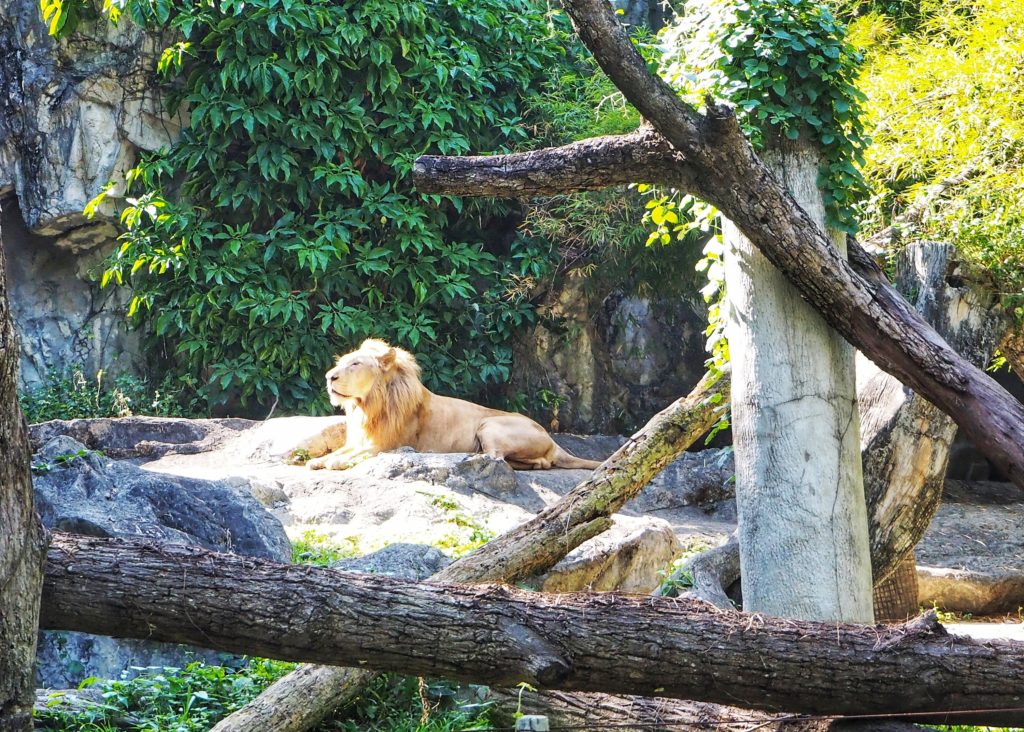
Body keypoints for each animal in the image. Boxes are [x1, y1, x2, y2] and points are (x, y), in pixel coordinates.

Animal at [307, 339, 602, 472]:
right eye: (343, 362)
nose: (329, 376)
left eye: (355, 364)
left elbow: (356, 455)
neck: (366, 405)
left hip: (490, 424)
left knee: (496, 458)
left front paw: (334, 462)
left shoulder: (389, 444)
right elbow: (340, 451)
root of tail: (553, 440)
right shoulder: (360, 439)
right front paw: (320, 460)